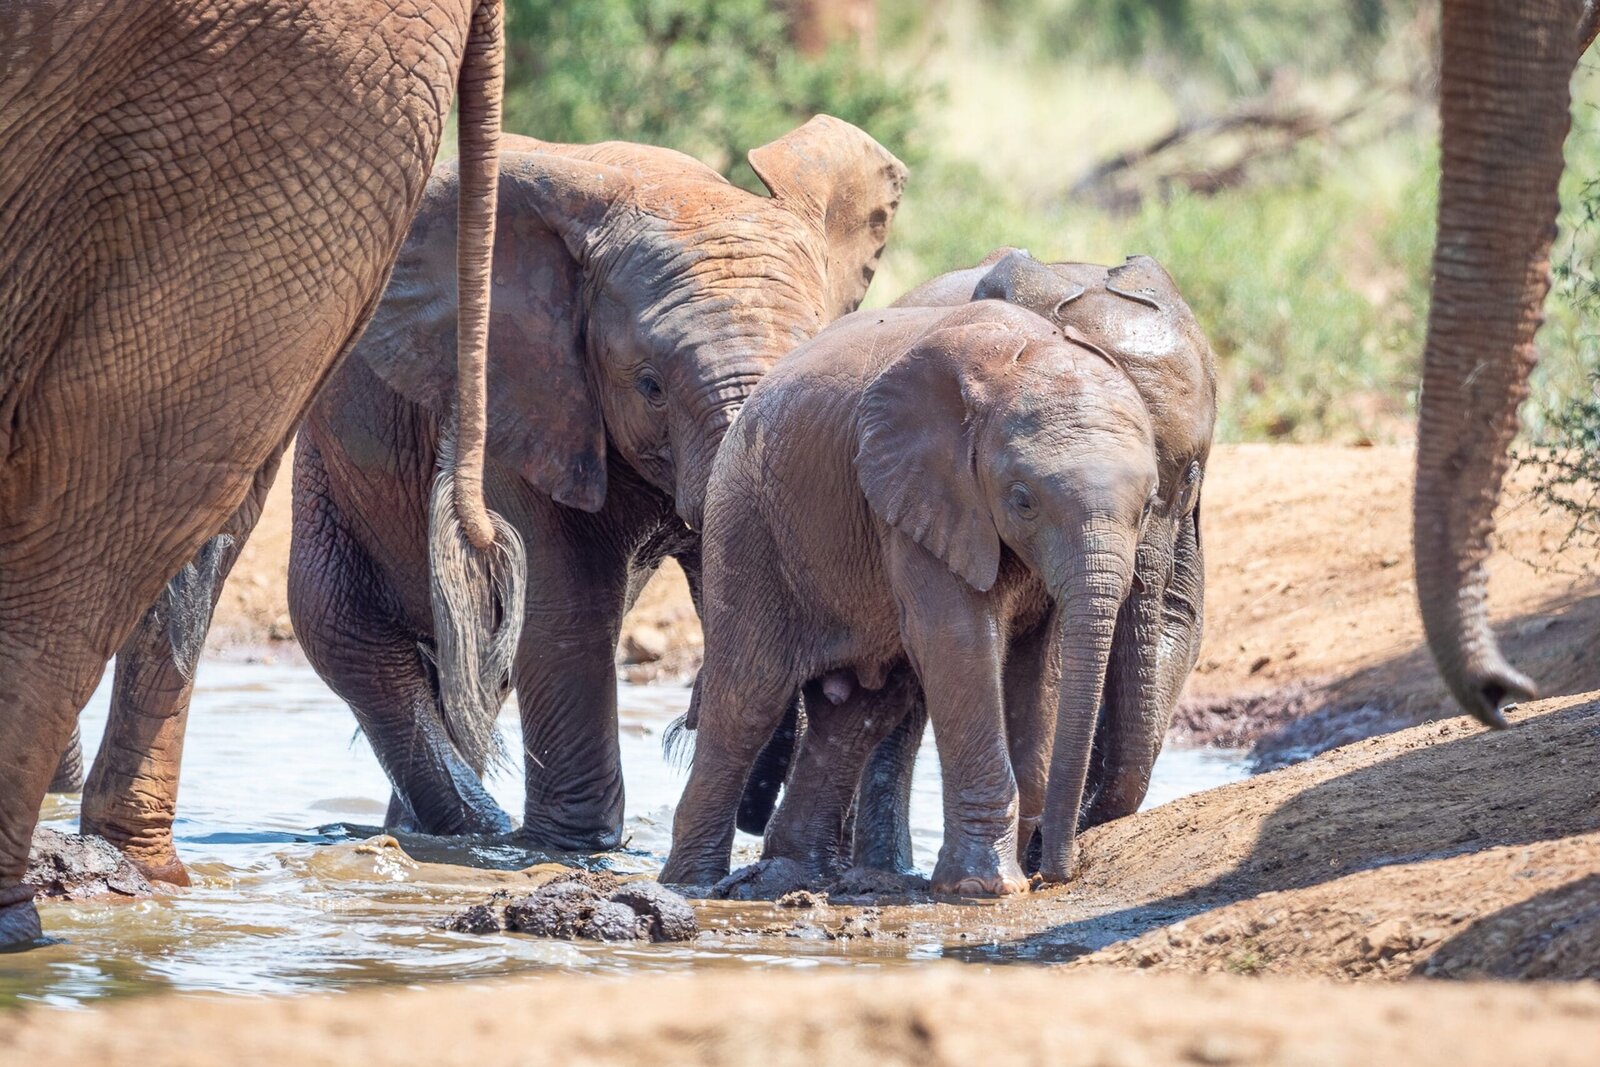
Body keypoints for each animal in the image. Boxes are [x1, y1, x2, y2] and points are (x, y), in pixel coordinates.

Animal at [286, 120, 907, 847]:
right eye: (651, 386)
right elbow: (569, 602)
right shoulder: (520, 397)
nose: (688, 718)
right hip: (327, 454)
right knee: (349, 635)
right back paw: (474, 837)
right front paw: (576, 847)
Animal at [660, 299, 1162, 895]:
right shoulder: (920, 492)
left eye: (1150, 503)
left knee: (860, 711)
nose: (1057, 875)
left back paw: (794, 873)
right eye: (1023, 500)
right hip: (746, 522)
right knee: (748, 699)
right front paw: (985, 889)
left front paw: (1011, 873)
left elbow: (1042, 664)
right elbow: (958, 641)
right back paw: (691, 885)